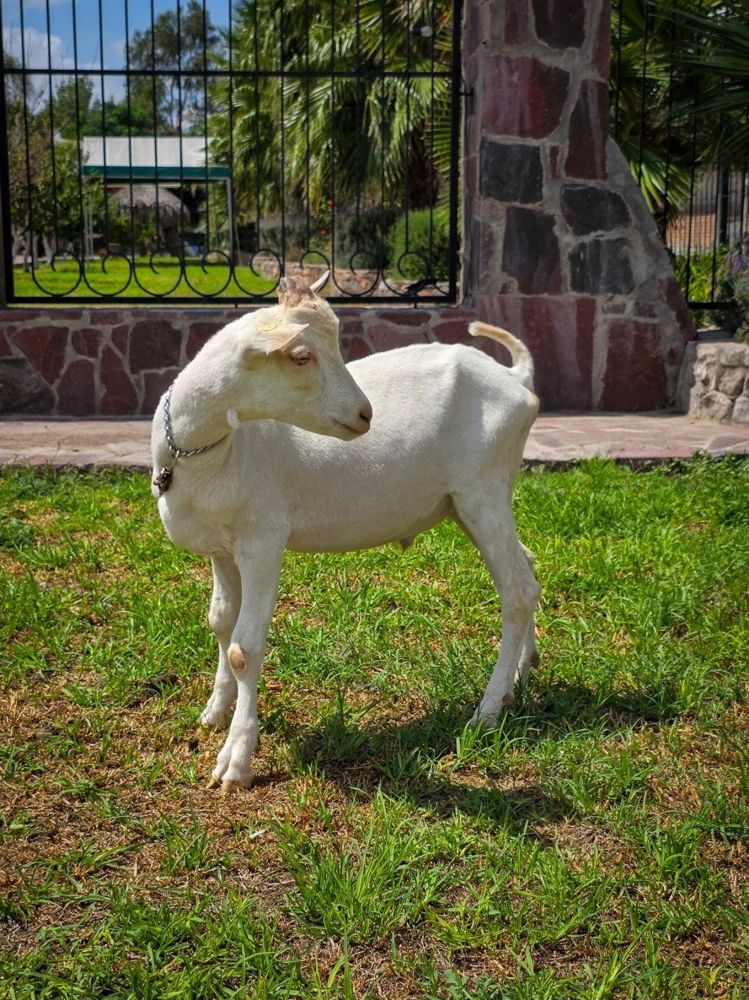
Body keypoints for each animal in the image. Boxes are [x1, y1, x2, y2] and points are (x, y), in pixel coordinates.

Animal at [151, 274, 540, 792]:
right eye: (301, 356)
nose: (364, 414)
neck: (209, 452)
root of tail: (517, 380)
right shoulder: (223, 548)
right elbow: (219, 621)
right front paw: (214, 711)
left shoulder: (262, 541)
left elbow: (243, 647)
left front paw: (236, 761)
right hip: (477, 499)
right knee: (528, 569)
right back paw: (522, 675)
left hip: (484, 487)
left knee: (516, 591)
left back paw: (488, 711)